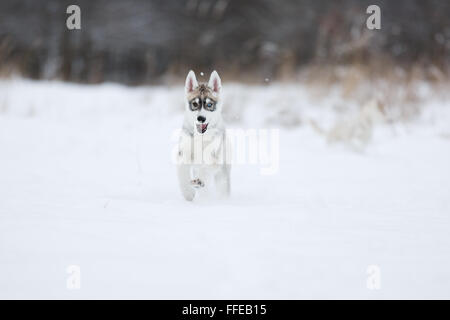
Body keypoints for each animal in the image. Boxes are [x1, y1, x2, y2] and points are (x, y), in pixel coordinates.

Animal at [177, 70, 230, 200]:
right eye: (195, 104)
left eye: (209, 105)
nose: (201, 118)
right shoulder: (182, 153)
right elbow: (182, 173)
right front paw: (188, 193)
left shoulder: (214, 158)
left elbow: (205, 168)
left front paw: (199, 182)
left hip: (222, 175)